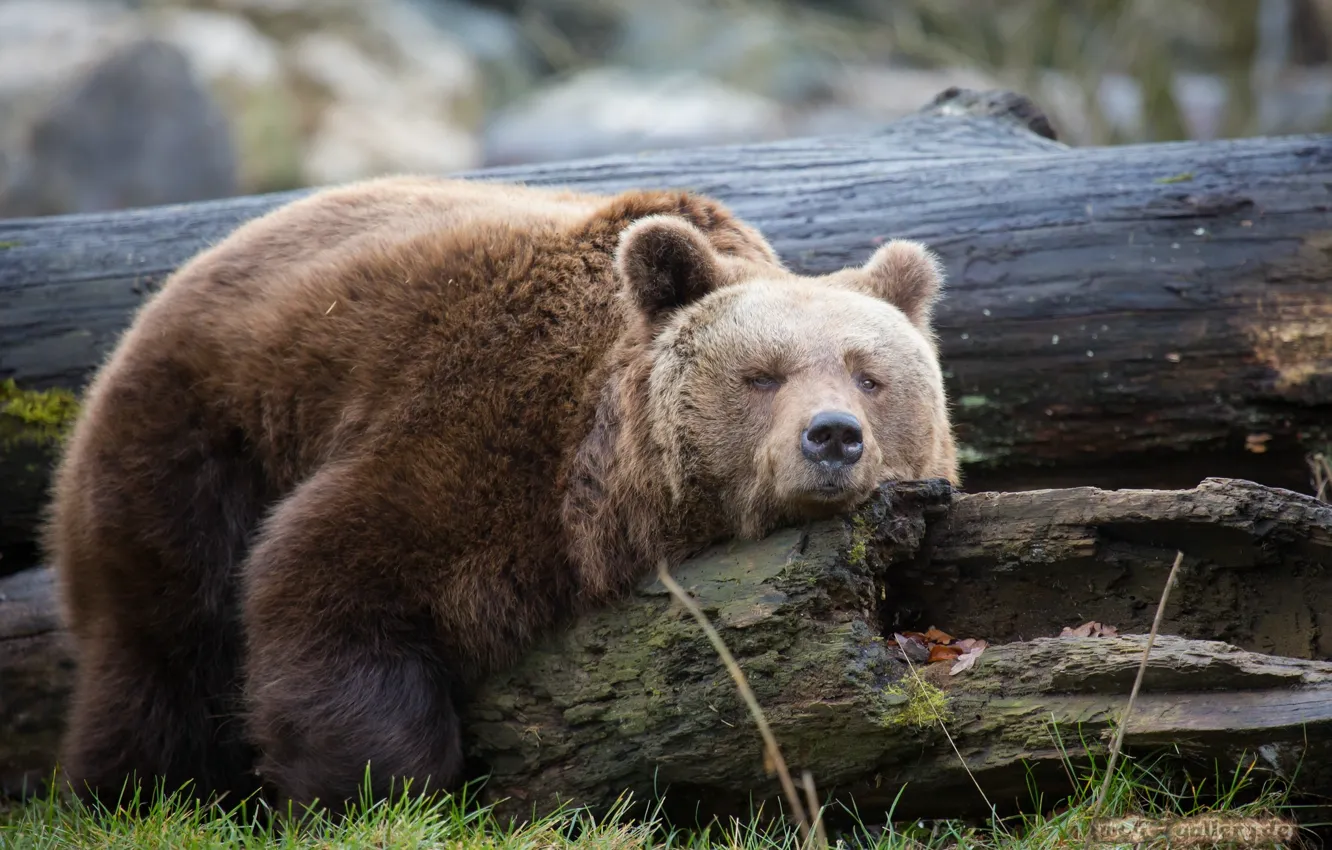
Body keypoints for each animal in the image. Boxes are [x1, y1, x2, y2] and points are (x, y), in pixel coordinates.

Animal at [43, 175, 959, 817]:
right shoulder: (476, 437)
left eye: (870, 376)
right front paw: (377, 790)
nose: (832, 436)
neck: (606, 486)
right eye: (762, 375)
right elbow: (327, 579)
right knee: (162, 644)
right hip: (198, 440)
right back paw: (134, 793)